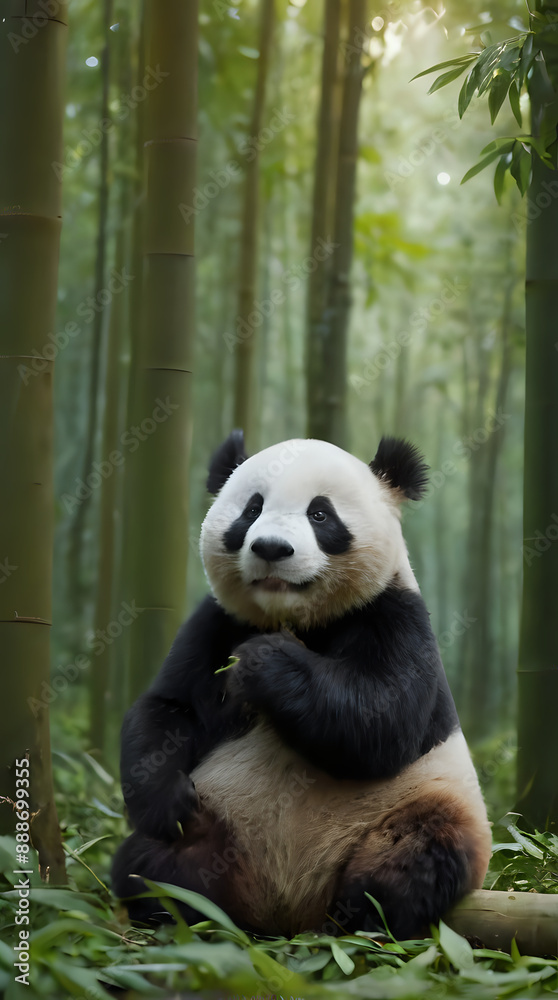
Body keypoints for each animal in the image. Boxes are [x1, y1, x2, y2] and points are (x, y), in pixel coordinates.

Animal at [112, 431, 492, 939]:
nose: (272, 548)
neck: (296, 619)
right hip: (220, 824)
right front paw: (168, 800)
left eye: (320, 514)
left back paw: (366, 912)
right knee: (151, 864)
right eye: (252, 509)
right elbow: (169, 708)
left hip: (421, 803)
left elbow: (381, 720)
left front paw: (260, 662)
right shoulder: (215, 621)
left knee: (421, 850)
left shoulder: (395, 614)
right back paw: (178, 906)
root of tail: (288, 910)